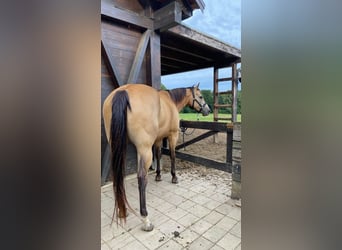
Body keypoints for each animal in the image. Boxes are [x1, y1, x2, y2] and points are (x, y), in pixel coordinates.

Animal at [101, 83, 210, 231]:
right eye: (201, 96)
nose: (207, 110)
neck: (171, 101)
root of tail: (123, 91)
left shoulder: (158, 139)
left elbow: (158, 155)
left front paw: (158, 175)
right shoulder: (173, 135)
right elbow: (172, 155)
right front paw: (174, 177)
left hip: (117, 146)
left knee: (119, 175)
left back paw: (122, 211)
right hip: (144, 149)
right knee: (141, 178)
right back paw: (145, 219)